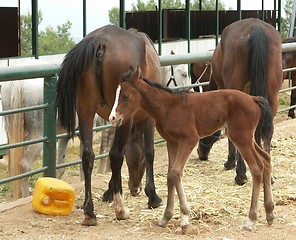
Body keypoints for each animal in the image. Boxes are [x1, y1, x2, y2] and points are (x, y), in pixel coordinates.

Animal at [55, 24, 162, 225]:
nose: (134, 188)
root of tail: (101, 41)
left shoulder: (113, 119)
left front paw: (109, 191)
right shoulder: (147, 118)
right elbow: (149, 151)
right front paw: (152, 196)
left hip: (86, 111)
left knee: (88, 155)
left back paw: (89, 212)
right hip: (122, 118)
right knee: (115, 155)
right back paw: (120, 209)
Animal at [110, 65, 274, 232]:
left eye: (126, 96)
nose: (113, 118)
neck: (168, 107)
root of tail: (253, 99)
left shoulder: (189, 139)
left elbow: (175, 173)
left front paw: (184, 218)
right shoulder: (172, 142)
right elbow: (170, 175)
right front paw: (166, 217)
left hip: (241, 138)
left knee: (257, 168)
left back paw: (251, 219)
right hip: (246, 138)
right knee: (266, 160)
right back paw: (269, 213)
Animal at [197, 17, 282, 185]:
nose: (201, 153)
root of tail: (257, 29)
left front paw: (231, 163)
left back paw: (241, 175)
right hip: (272, 96)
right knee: (267, 130)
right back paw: (268, 175)